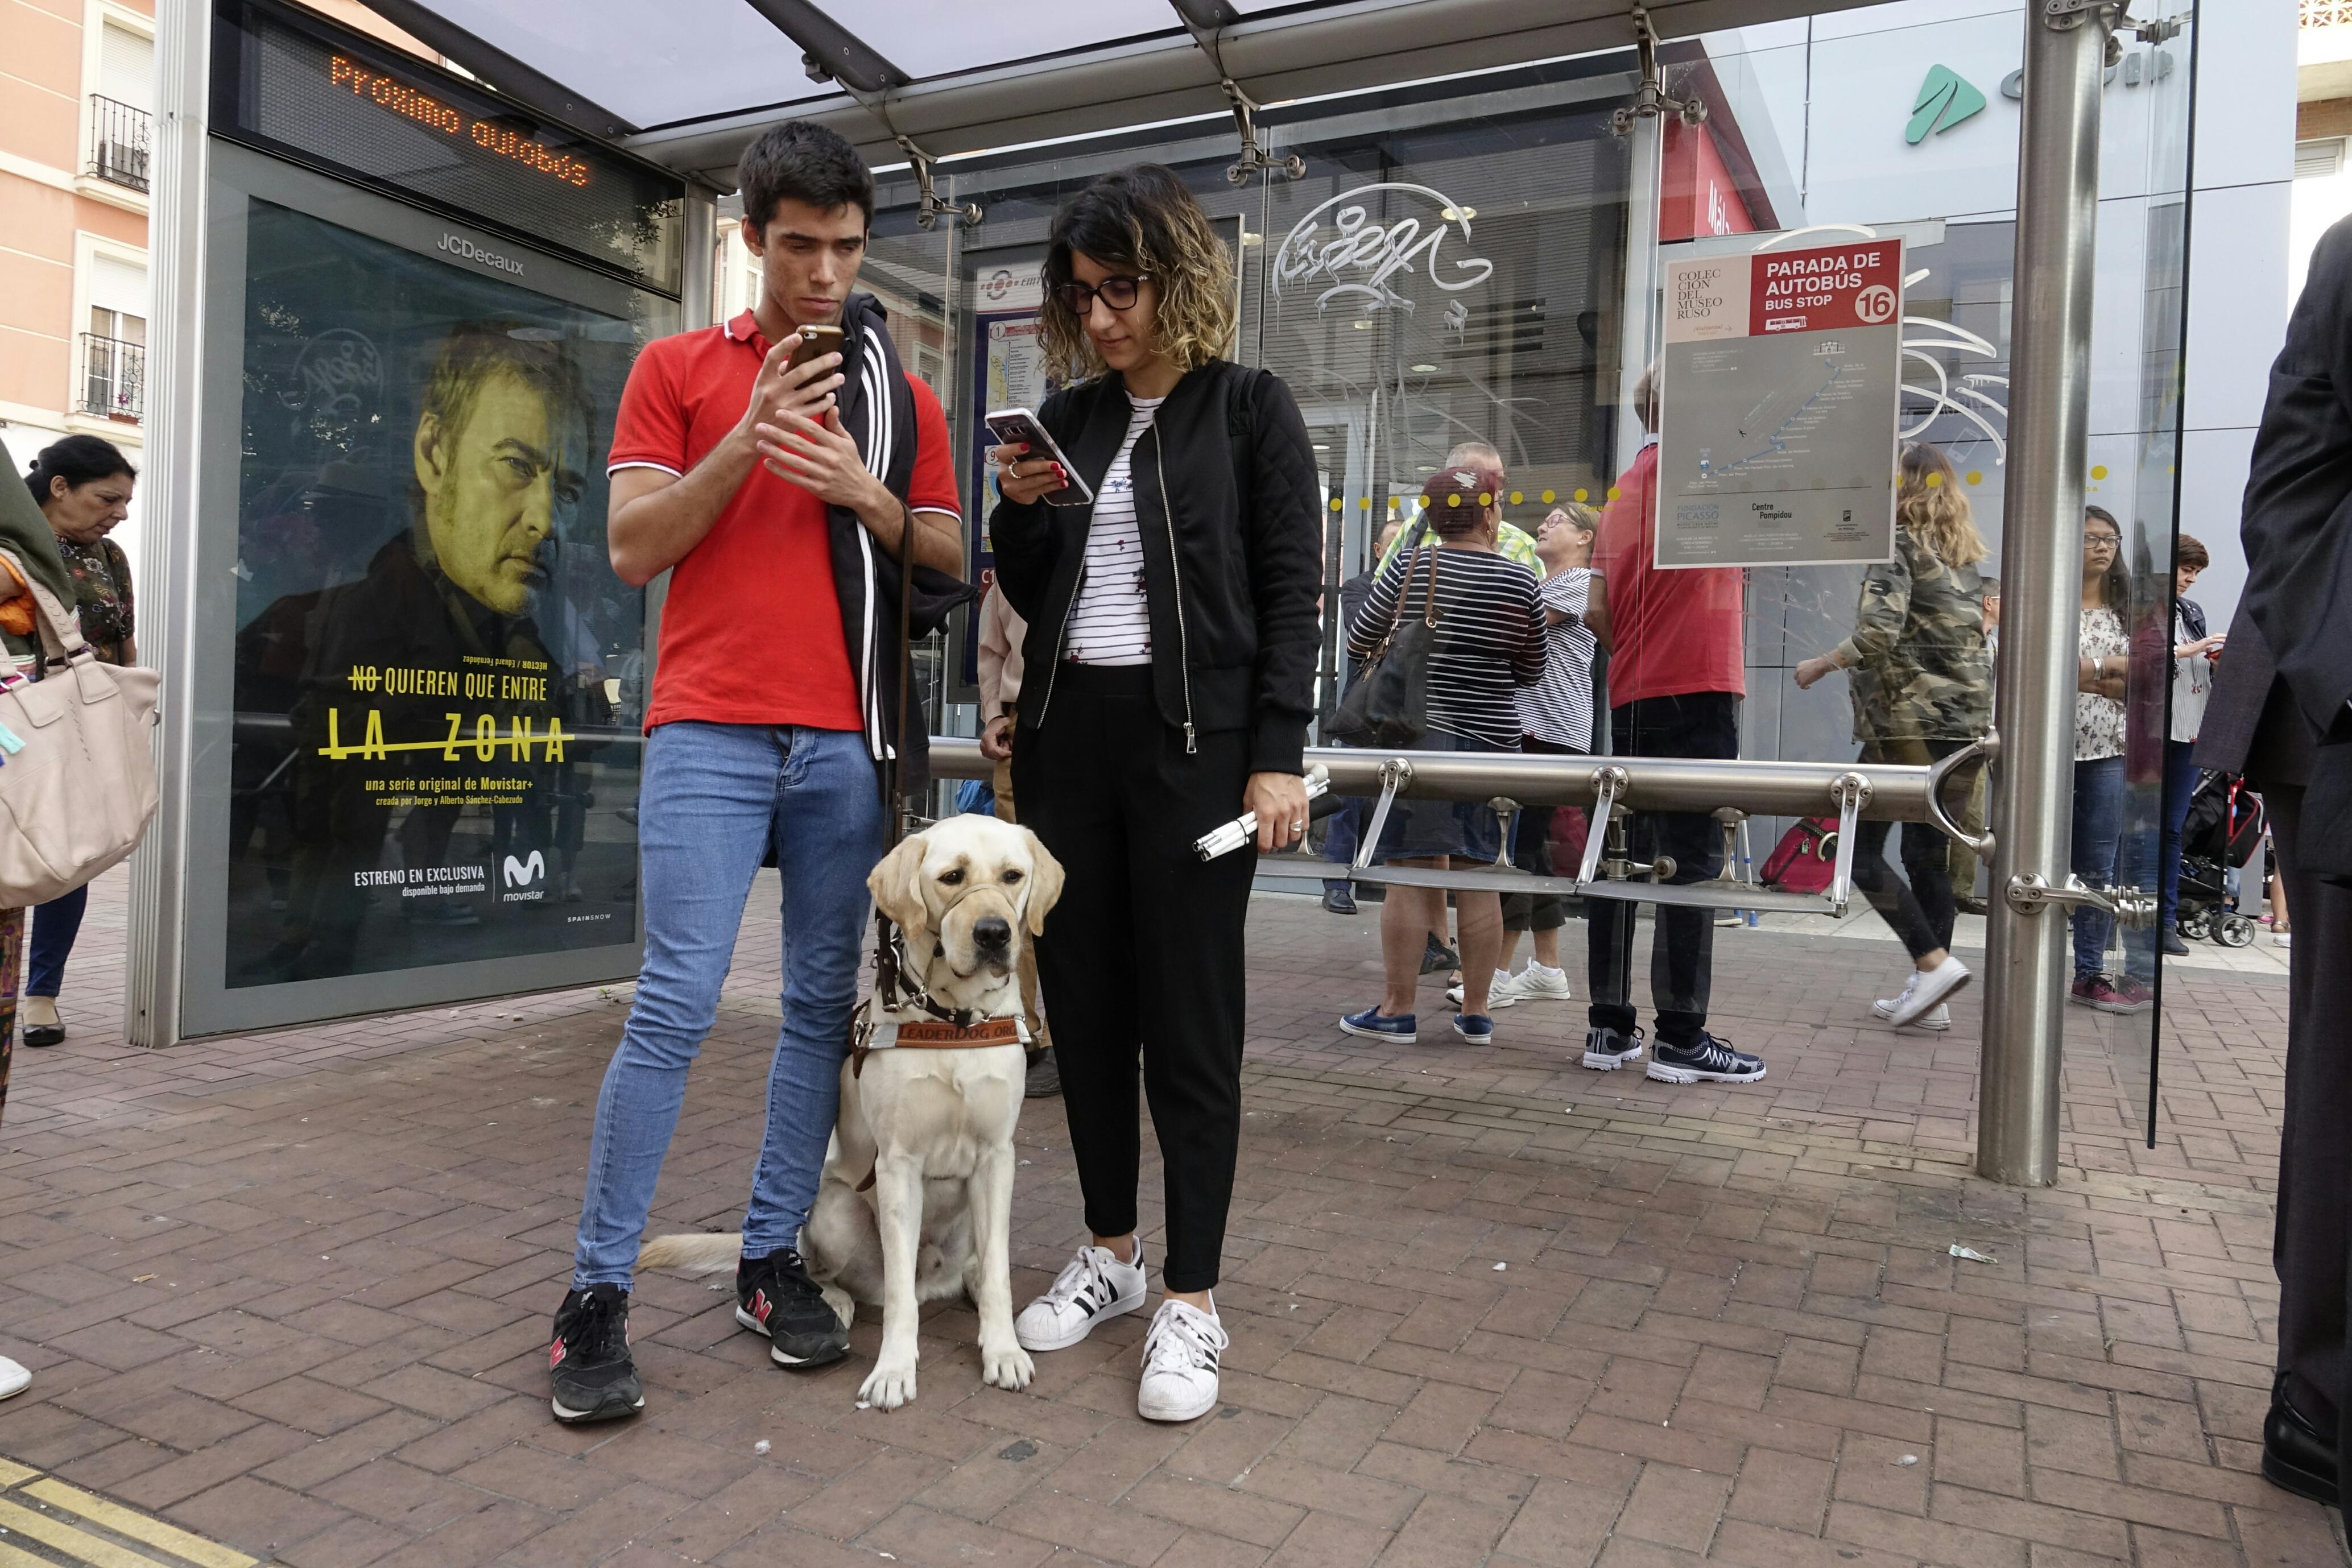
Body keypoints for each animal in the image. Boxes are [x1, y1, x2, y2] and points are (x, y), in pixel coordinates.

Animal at [635, 818, 1058, 1420]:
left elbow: (999, 1273)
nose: (994, 933)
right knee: (838, 1273)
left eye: (1013, 876)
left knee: (977, 1265)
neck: (954, 1020)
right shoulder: (898, 1164)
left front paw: (1002, 1351)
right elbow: (901, 1299)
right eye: (951, 877)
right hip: (836, 1210)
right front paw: (893, 1371)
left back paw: (970, 1281)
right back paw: (826, 1299)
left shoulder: (997, 1157)